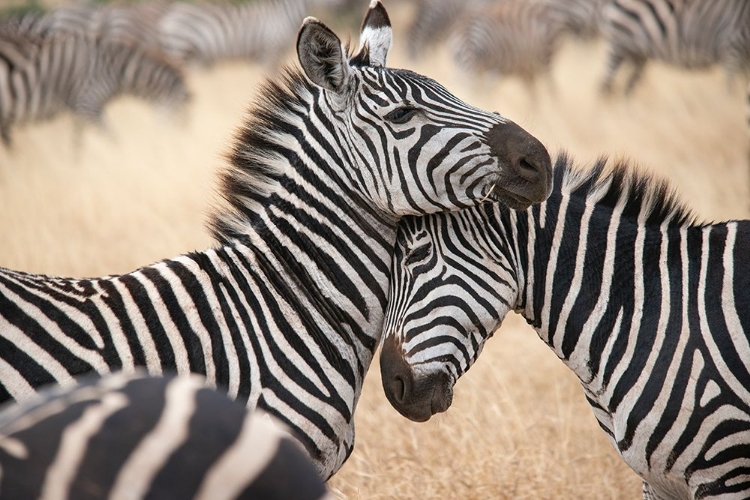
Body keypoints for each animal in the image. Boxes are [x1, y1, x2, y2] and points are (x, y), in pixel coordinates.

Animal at [604, 0, 750, 94]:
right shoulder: (733, 44)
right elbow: (730, 88)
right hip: (622, 42)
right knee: (606, 83)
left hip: (636, 51)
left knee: (628, 85)